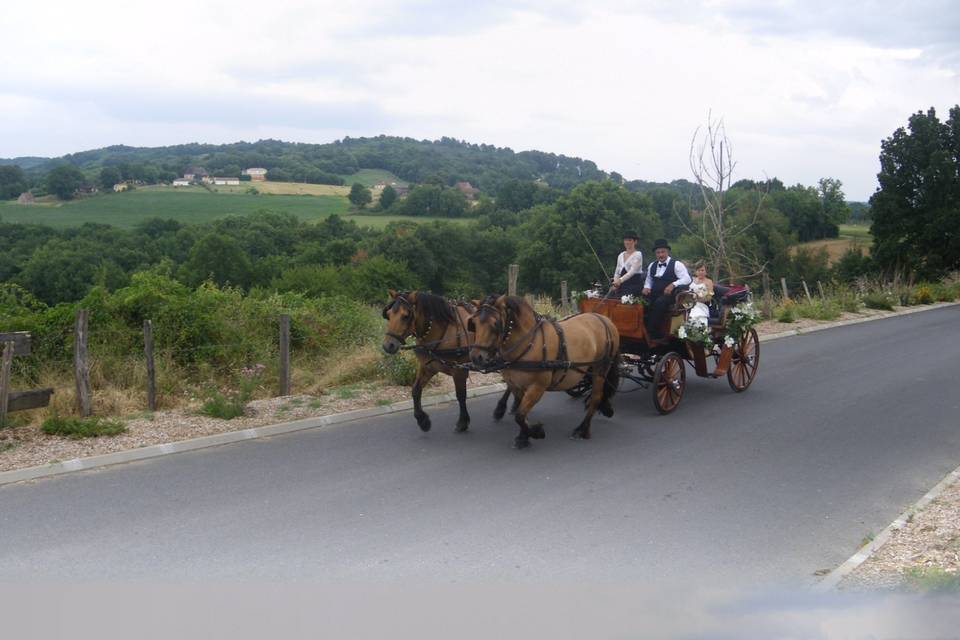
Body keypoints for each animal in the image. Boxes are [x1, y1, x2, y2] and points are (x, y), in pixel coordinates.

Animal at [382, 292, 516, 436]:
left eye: (406, 316)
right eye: (388, 314)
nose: (388, 345)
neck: (443, 331)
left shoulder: (459, 371)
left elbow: (461, 395)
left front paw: (463, 422)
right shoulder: (427, 367)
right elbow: (416, 390)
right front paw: (422, 421)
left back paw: (501, 409)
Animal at [466, 296, 620, 450]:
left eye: (495, 324)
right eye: (474, 323)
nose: (476, 357)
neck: (529, 343)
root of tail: (604, 319)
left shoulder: (537, 387)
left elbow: (520, 415)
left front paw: (536, 432)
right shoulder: (516, 386)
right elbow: (522, 413)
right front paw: (524, 436)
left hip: (601, 368)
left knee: (596, 397)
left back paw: (583, 429)